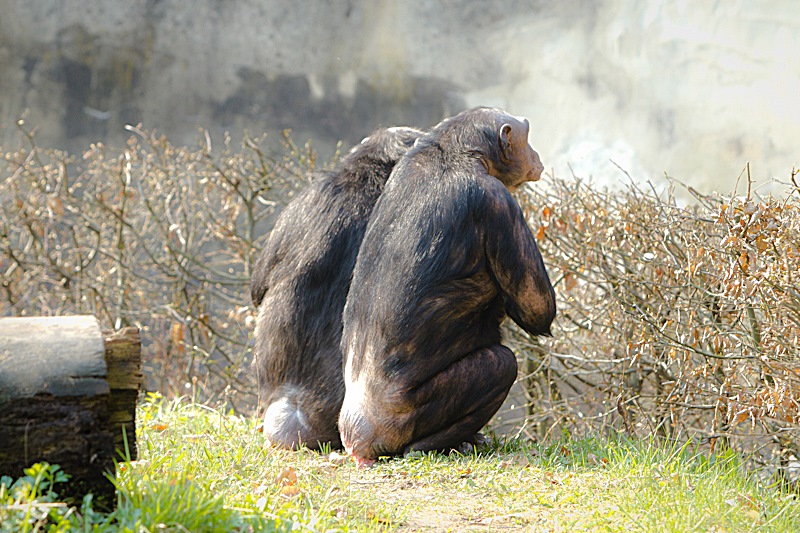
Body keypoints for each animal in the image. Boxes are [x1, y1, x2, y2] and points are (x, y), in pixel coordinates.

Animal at [338, 106, 556, 464]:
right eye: (526, 137)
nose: (536, 154)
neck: (455, 152)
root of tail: (357, 436)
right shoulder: (498, 202)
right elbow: (536, 308)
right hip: (402, 421)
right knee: (502, 364)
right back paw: (437, 445)